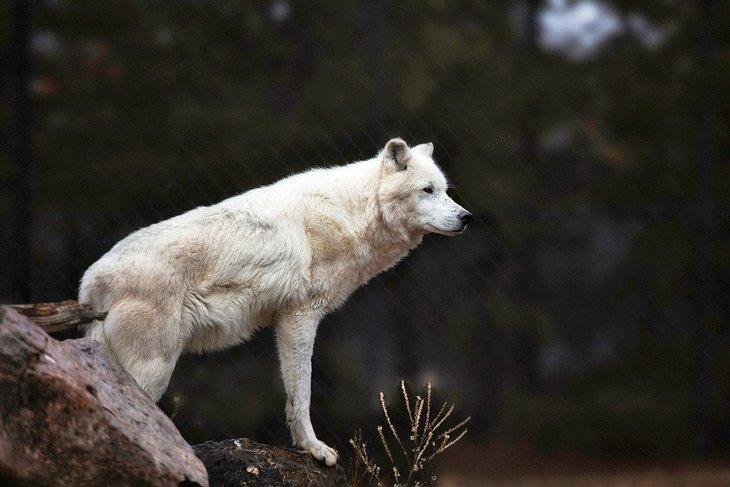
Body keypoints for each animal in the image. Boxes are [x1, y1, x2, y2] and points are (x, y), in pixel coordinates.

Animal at [79, 138, 471, 465]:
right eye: (426, 190)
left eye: (445, 191)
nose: (466, 217)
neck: (352, 214)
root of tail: (90, 281)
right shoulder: (301, 316)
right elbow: (302, 393)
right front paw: (315, 449)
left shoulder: (284, 320)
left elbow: (294, 392)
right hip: (154, 369)